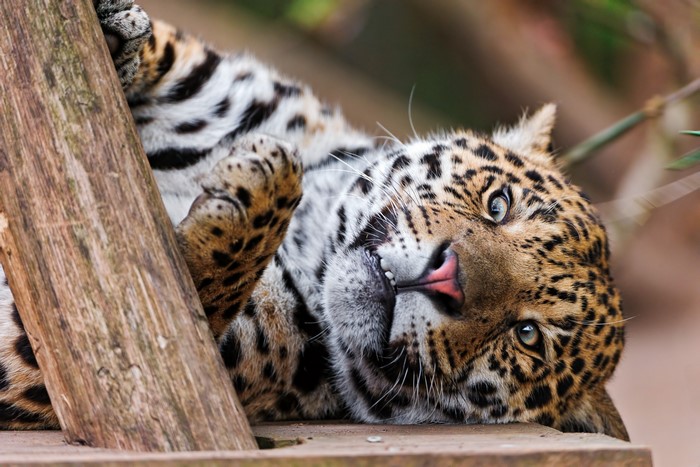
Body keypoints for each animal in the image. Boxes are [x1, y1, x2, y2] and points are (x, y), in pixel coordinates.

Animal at [0, 0, 628, 440]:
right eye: (499, 205)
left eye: (527, 337)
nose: (445, 275)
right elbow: (173, 53)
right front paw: (121, 28)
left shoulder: (42, 365)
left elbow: (141, 306)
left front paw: (264, 179)